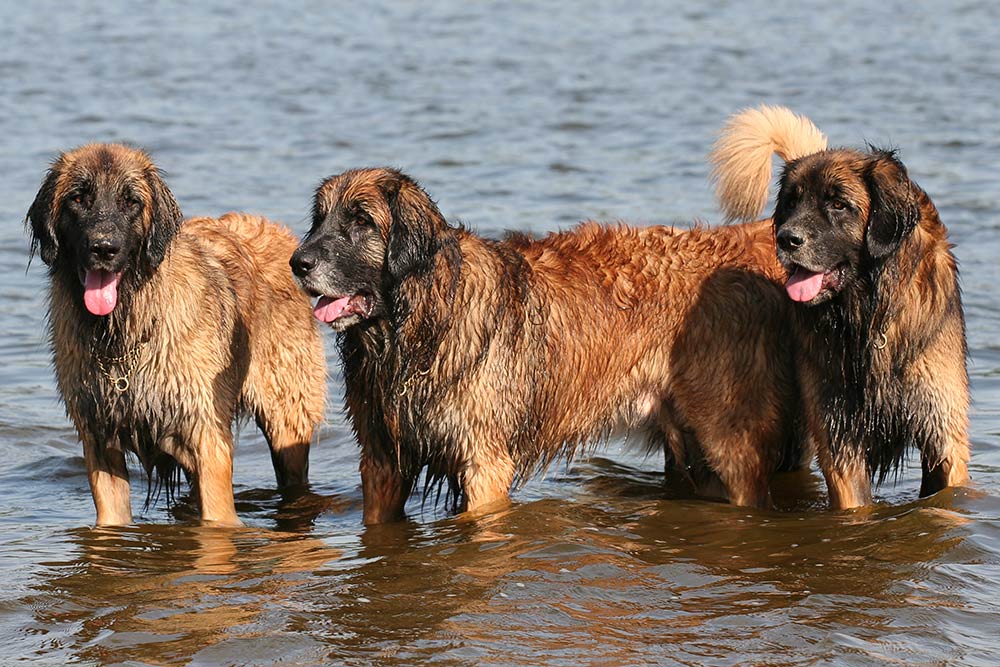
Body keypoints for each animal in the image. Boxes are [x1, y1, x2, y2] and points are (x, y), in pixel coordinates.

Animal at [27, 145, 326, 528]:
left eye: (130, 202)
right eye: (78, 198)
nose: (104, 248)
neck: (123, 334)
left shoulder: (207, 436)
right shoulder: (100, 441)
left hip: (287, 421)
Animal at [290, 167, 804, 520]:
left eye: (361, 221)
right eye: (320, 219)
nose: (298, 262)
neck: (416, 326)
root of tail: (744, 245)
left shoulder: (484, 463)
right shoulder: (381, 461)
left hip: (729, 441)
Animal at [712, 107, 968, 508]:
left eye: (838, 204)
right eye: (791, 202)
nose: (787, 239)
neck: (867, 317)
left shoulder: (943, 433)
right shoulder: (838, 434)